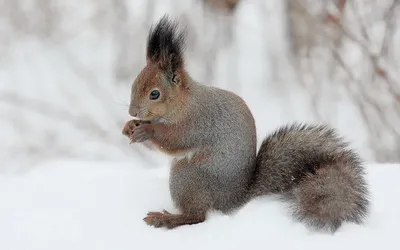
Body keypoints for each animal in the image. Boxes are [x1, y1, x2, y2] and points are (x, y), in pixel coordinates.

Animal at [121, 15, 368, 232]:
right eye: (134, 84)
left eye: (154, 94)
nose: (132, 111)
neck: (183, 103)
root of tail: (235, 199)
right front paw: (129, 127)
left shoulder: (197, 122)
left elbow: (174, 140)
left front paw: (148, 129)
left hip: (187, 177)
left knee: (197, 216)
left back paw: (167, 219)